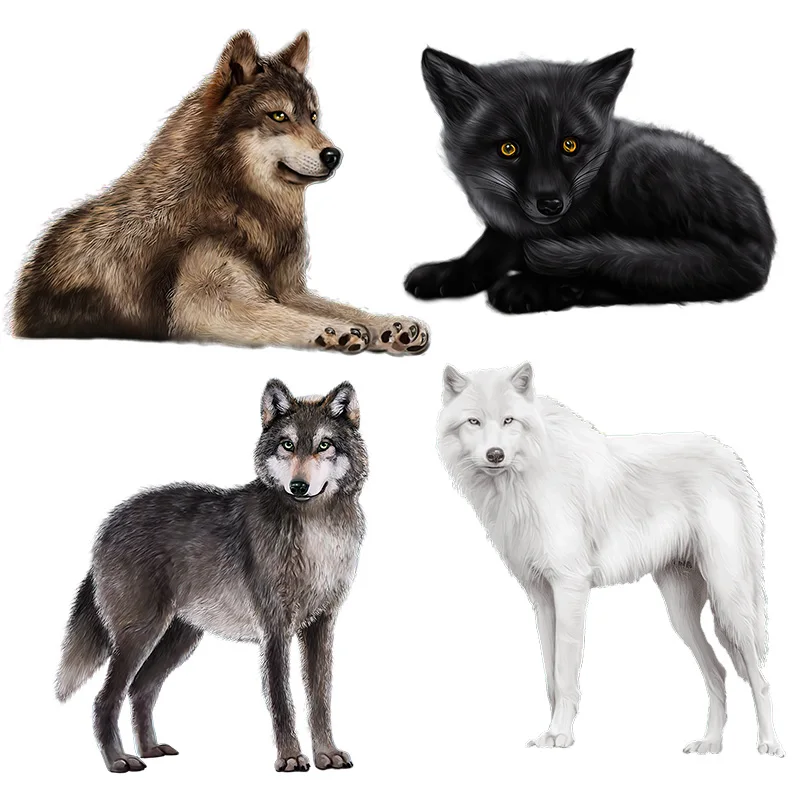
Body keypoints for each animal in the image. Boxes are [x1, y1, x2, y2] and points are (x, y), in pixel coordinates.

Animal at [12, 31, 428, 354]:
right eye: (279, 116)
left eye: (313, 117)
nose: (334, 155)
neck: (240, 205)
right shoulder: (203, 309)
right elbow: (282, 317)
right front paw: (336, 332)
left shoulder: (288, 289)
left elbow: (344, 308)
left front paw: (390, 325)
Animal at [55, 379, 367, 773]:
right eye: (288, 444)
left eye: (324, 445)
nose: (298, 486)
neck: (316, 532)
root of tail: (108, 525)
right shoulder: (275, 630)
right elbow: (282, 700)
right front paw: (290, 758)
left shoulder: (321, 626)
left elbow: (320, 698)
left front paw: (327, 754)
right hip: (140, 637)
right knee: (105, 698)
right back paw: (119, 761)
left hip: (178, 639)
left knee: (140, 689)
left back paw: (150, 749)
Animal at [406, 48, 774, 312]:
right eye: (509, 148)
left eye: (570, 145)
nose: (550, 204)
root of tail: (763, 245)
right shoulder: (504, 233)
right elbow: (482, 254)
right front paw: (449, 274)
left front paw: (535, 282)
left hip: (637, 165)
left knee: (676, 276)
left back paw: (543, 289)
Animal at [437, 363, 783, 756]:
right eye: (474, 421)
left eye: (509, 420)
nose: (495, 454)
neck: (523, 479)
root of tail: (732, 458)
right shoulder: (542, 598)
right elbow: (550, 677)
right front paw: (550, 733)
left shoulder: (570, 587)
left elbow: (565, 674)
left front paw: (561, 734)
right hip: (681, 614)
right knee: (718, 673)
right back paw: (709, 743)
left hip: (729, 601)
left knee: (759, 678)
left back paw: (769, 744)